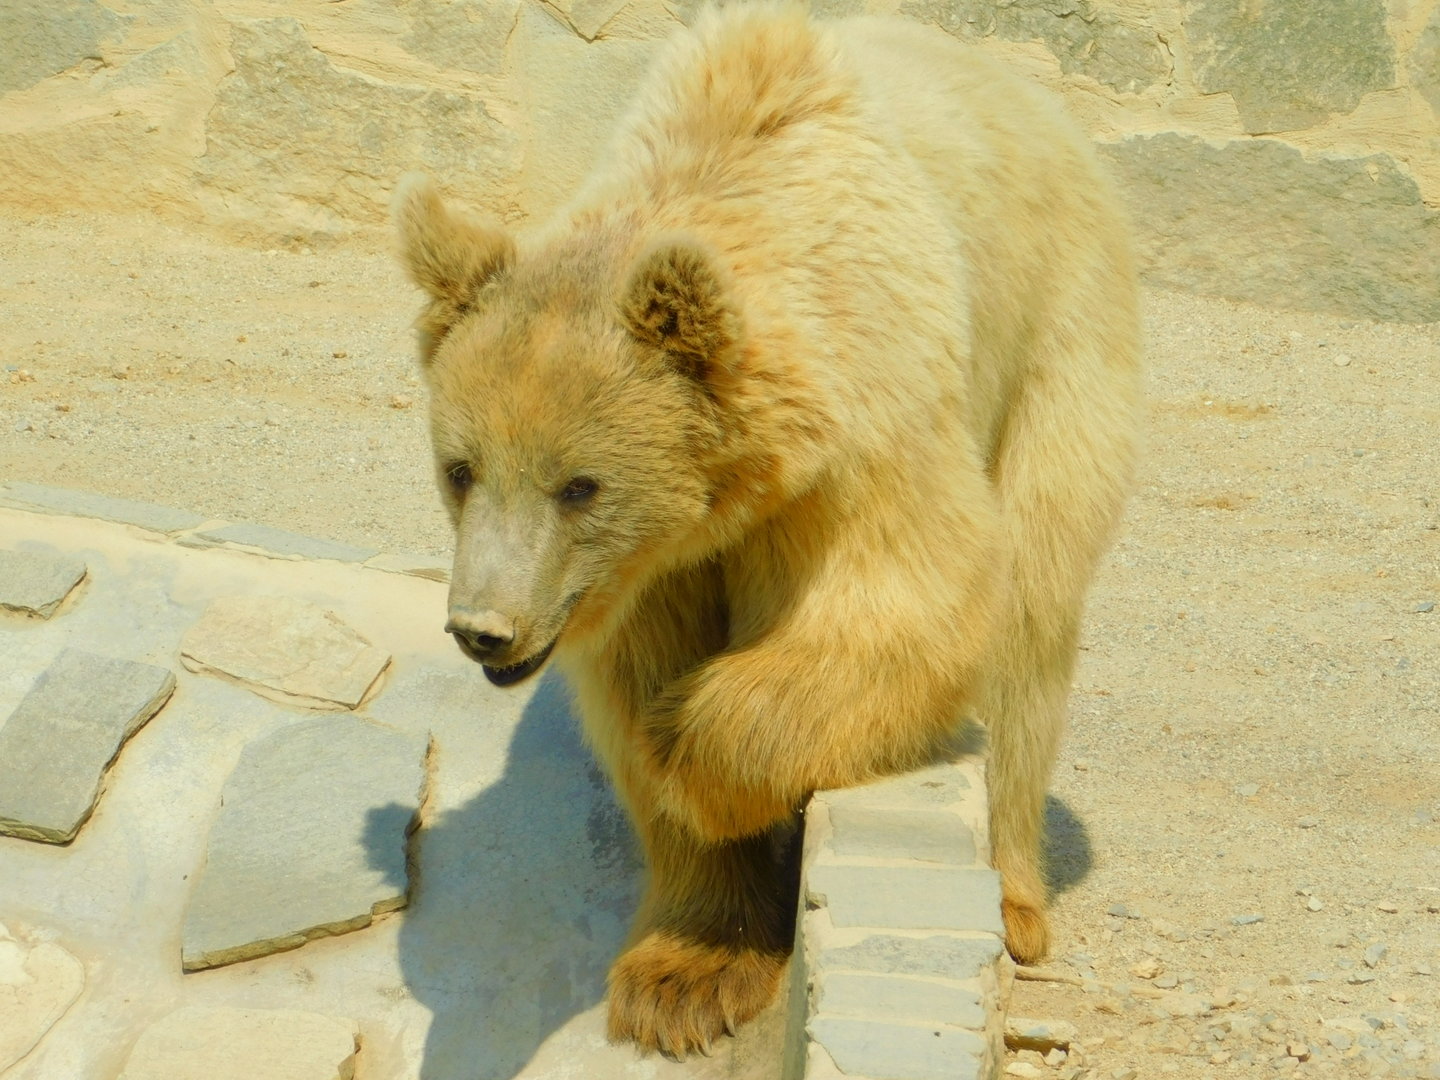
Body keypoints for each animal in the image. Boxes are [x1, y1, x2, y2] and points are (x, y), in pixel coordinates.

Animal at [393, 2, 1141, 1059]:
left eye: (578, 485)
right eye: (460, 468)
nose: (484, 630)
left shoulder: (864, 430)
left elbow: (911, 599)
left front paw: (690, 758)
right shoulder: (649, 568)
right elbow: (637, 676)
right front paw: (684, 975)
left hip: (1054, 335)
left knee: (1033, 603)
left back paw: (1015, 897)